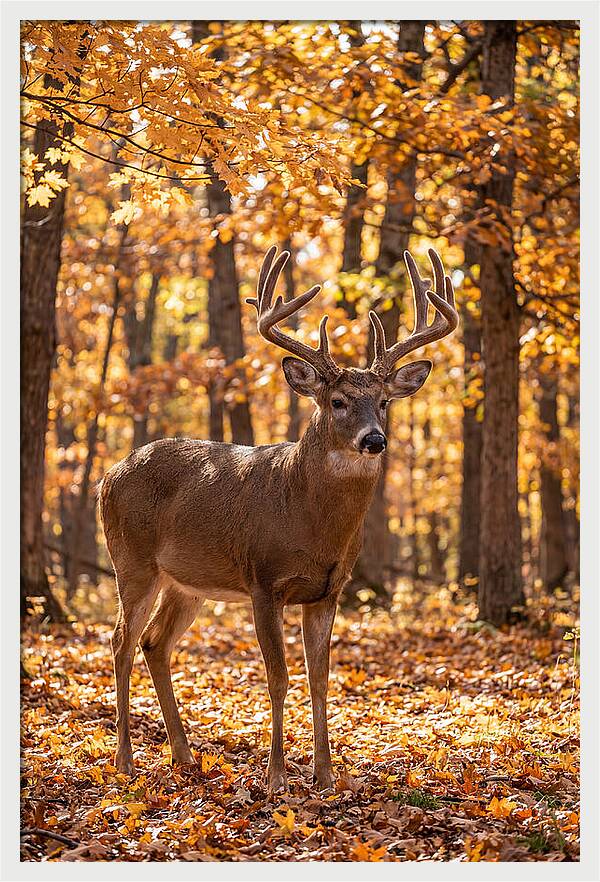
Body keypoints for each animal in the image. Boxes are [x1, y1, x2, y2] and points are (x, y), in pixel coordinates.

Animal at [99, 245, 458, 792]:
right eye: (338, 401)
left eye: (383, 402)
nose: (375, 439)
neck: (309, 521)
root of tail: (108, 475)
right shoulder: (263, 580)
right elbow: (278, 677)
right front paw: (276, 778)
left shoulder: (329, 590)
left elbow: (320, 678)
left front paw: (326, 775)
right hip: (132, 561)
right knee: (121, 640)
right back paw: (124, 761)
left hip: (187, 582)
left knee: (154, 643)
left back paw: (184, 755)